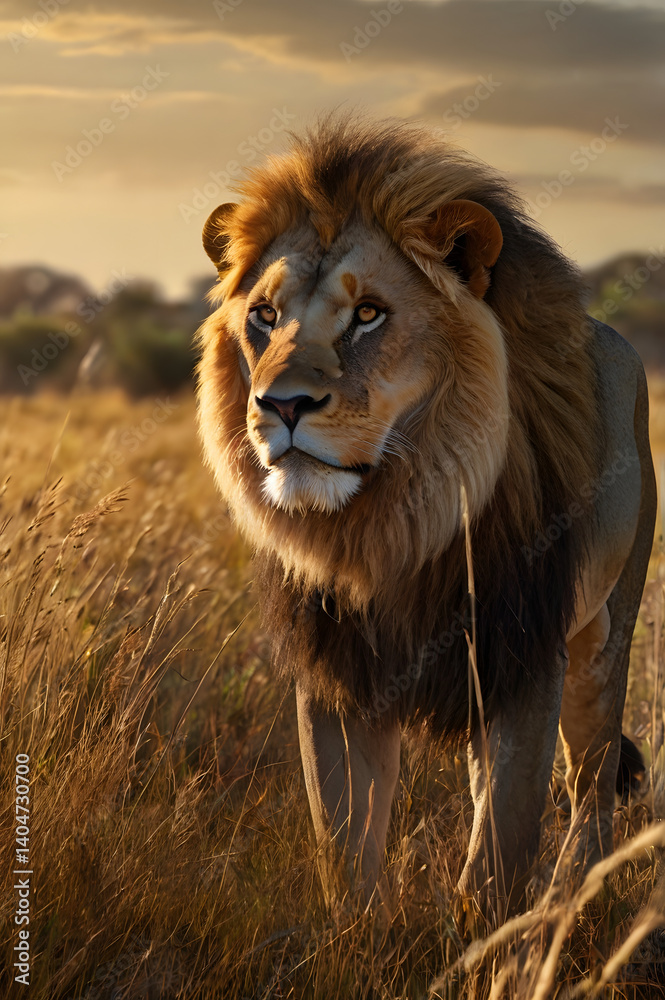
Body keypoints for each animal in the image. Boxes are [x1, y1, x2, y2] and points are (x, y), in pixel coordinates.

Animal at [196, 114, 656, 916]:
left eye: (368, 314)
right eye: (265, 316)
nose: (280, 405)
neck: (393, 524)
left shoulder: (523, 654)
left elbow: (500, 848)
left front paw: (480, 938)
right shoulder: (337, 668)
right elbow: (344, 845)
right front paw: (356, 938)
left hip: (602, 639)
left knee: (591, 787)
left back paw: (573, 898)